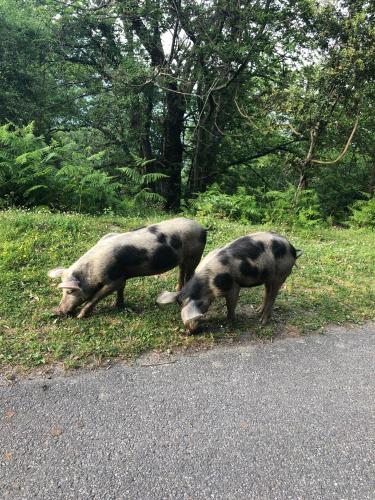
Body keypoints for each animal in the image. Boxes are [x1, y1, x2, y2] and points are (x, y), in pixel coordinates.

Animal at [48, 217, 207, 318]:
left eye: (69, 291)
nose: (56, 311)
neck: (91, 272)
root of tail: (201, 228)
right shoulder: (122, 277)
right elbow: (121, 289)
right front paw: (117, 305)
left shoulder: (113, 280)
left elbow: (96, 296)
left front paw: (81, 316)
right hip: (183, 259)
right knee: (181, 271)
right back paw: (177, 289)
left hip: (195, 254)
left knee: (190, 273)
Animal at [156, 230, 302, 332]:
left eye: (199, 311)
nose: (189, 331)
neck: (208, 284)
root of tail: (292, 248)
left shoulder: (233, 286)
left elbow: (230, 305)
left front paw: (229, 324)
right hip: (267, 275)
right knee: (267, 291)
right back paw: (258, 310)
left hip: (281, 274)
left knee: (273, 295)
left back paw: (262, 321)